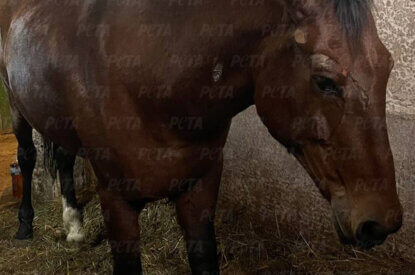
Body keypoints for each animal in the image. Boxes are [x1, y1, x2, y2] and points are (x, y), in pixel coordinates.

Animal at [0, 0, 404, 274]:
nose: (381, 222)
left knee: (63, 155)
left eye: (387, 66)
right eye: (324, 81)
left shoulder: (200, 189)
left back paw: (74, 226)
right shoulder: (117, 200)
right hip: (17, 107)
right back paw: (25, 225)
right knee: (27, 156)